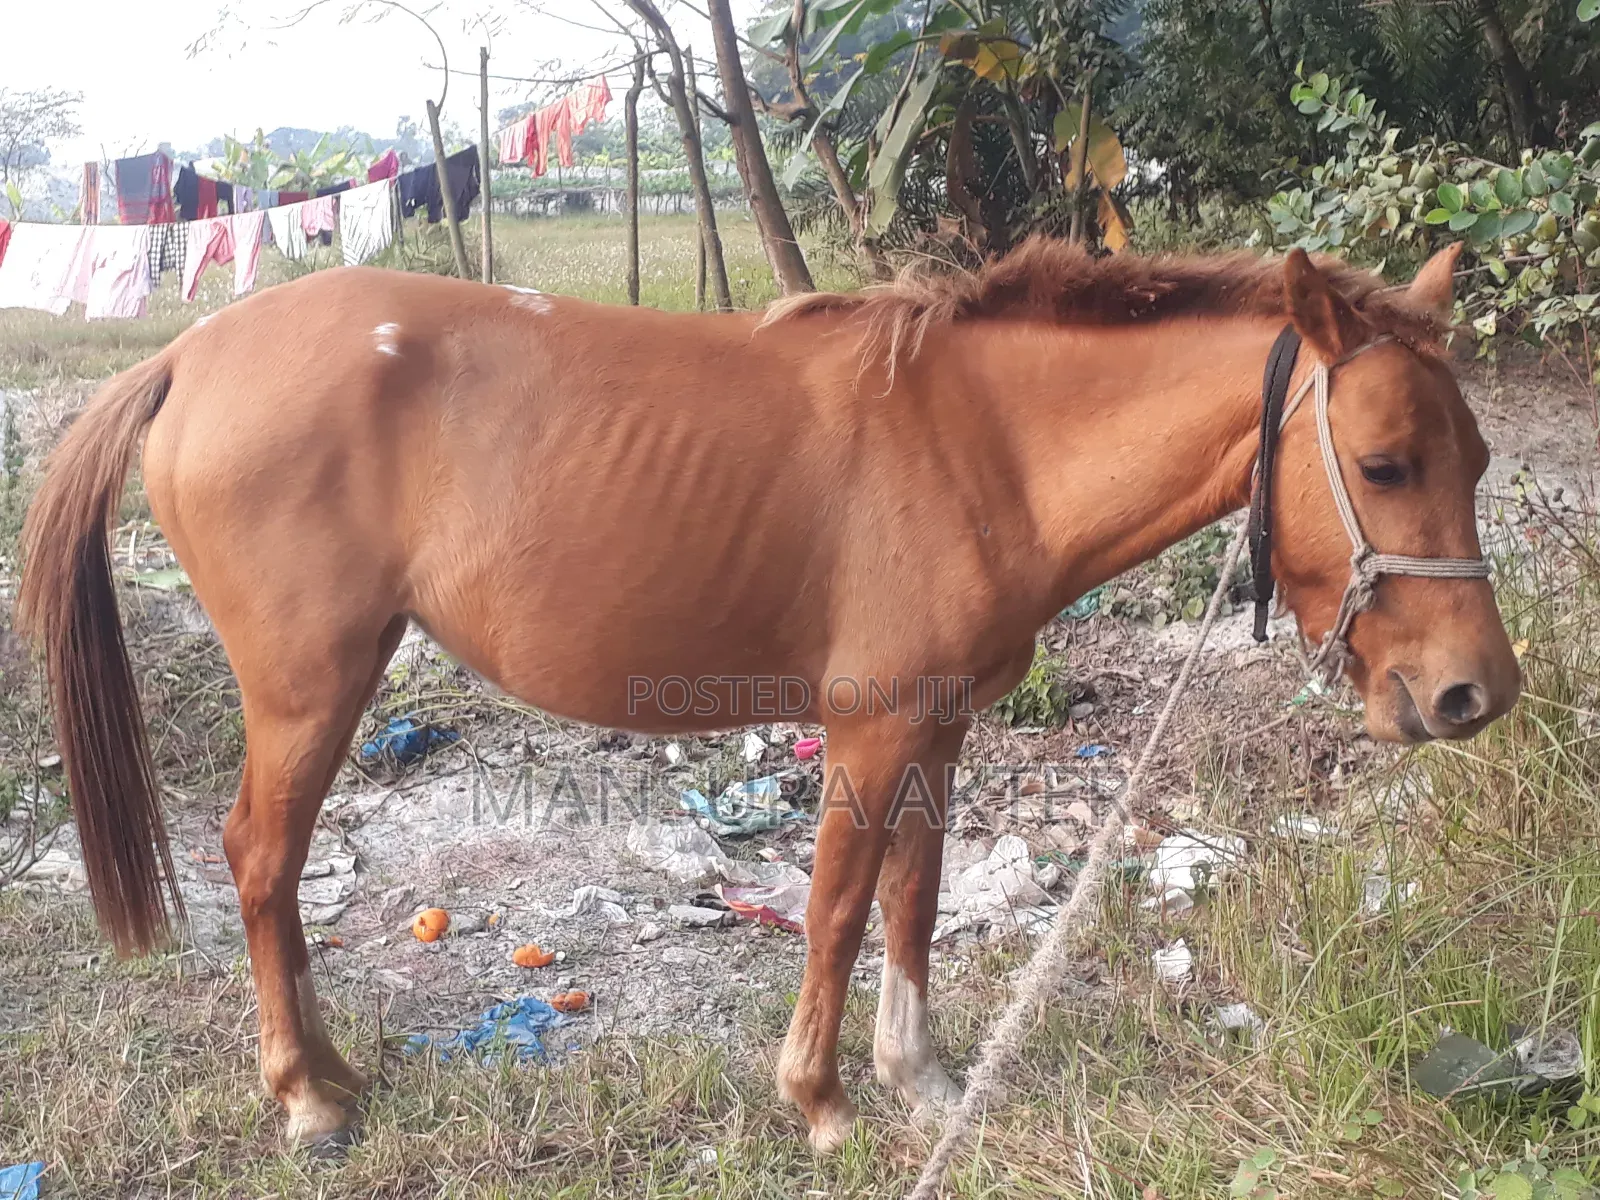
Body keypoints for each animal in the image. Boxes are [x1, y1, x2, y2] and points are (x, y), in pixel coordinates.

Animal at [16, 238, 1518, 1152]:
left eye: (1480, 454)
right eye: (1382, 463)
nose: (1473, 694)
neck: (979, 444)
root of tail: (191, 356)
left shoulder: (940, 727)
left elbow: (912, 901)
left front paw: (923, 1080)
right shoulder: (867, 726)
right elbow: (839, 911)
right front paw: (824, 1100)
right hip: (310, 687)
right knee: (259, 862)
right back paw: (308, 1099)